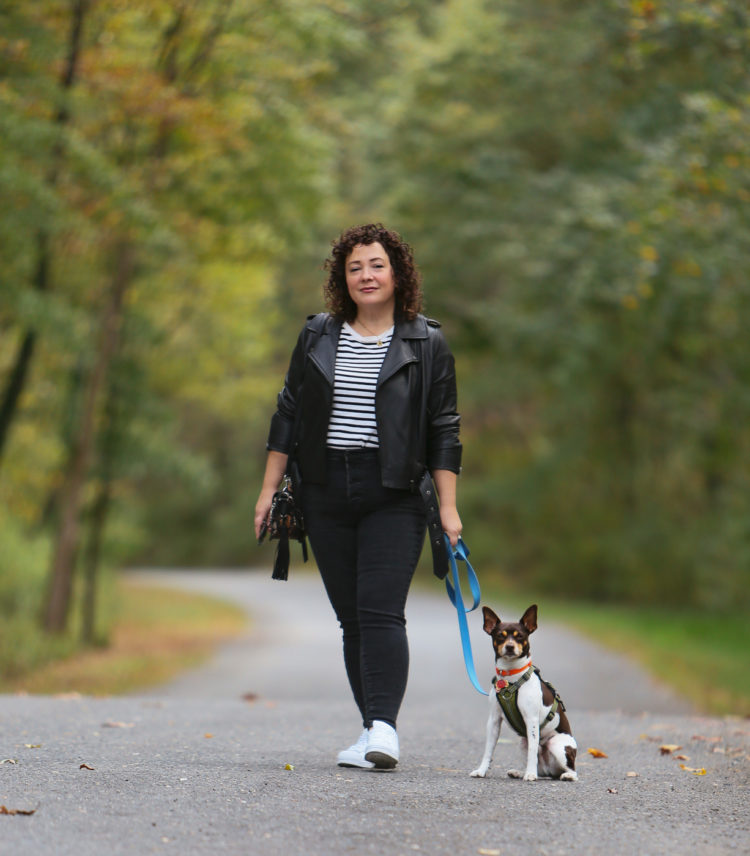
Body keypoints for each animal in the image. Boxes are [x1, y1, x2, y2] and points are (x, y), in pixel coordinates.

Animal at [470, 604, 580, 780]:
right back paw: (521, 772)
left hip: (556, 744)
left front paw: (530, 775)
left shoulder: (531, 720)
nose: (509, 646)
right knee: (541, 769)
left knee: (572, 770)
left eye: (520, 636)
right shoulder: (494, 721)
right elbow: (488, 750)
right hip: (523, 742)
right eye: (500, 636)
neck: (511, 678)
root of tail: (551, 771)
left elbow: (532, 751)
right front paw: (481, 771)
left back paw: (564, 776)